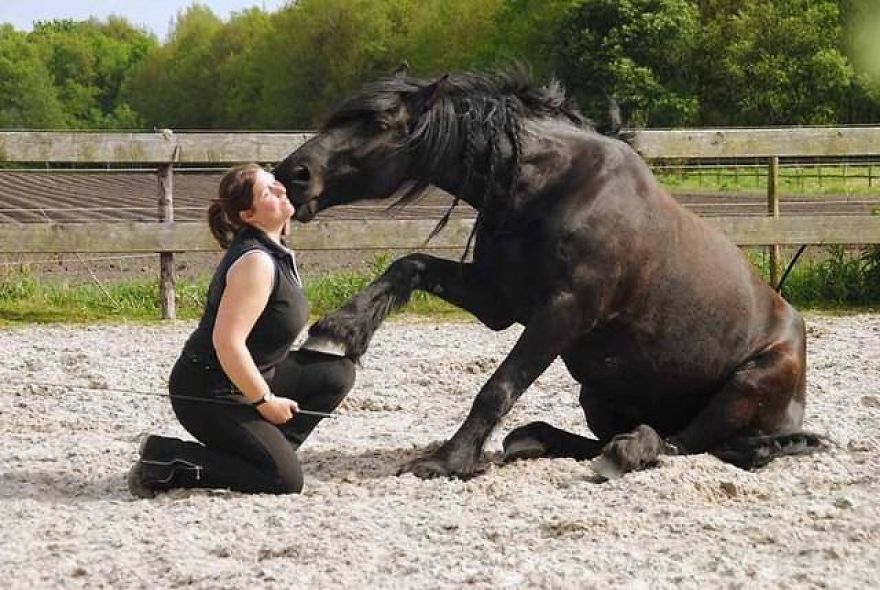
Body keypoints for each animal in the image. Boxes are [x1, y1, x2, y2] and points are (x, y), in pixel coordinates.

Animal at [274, 66, 825, 480]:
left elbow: (498, 386)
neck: (553, 187)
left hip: (743, 388)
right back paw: (534, 440)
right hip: (596, 392)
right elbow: (407, 266)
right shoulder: (499, 300)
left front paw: (448, 461)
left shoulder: (564, 311)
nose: (291, 175)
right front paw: (337, 333)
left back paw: (629, 450)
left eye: (383, 123)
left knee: (681, 444)